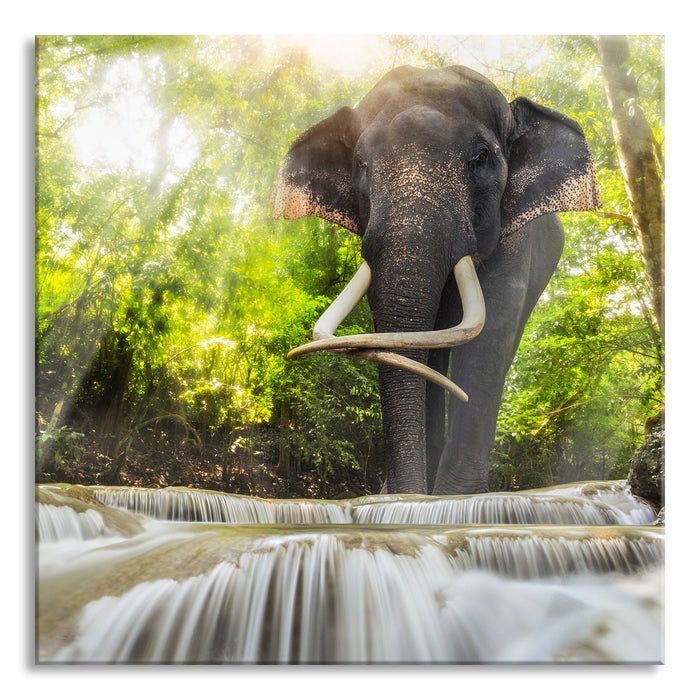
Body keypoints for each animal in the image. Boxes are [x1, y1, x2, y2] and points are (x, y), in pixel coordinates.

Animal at [273, 65, 600, 495]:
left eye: (481, 158)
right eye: (360, 164)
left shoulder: (515, 236)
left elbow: (490, 333)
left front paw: (456, 499)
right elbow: (403, 341)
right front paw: (406, 496)